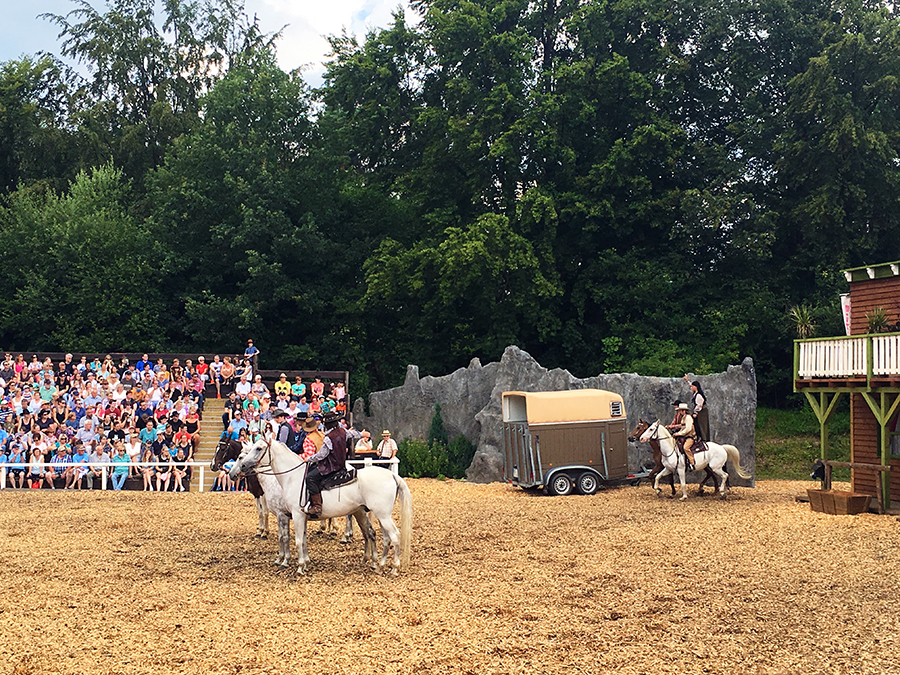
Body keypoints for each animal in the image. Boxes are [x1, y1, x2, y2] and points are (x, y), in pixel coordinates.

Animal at [232, 434, 414, 576]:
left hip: (382, 515)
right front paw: (304, 562)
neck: (291, 477)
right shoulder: (299, 517)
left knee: (394, 536)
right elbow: (301, 539)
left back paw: (394, 568)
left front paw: (296, 565)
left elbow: (294, 539)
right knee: (381, 536)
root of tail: (391, 475)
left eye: (258, 448)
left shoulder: (292, 515)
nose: (237, 470)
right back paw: (379, 565)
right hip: (375, 514)